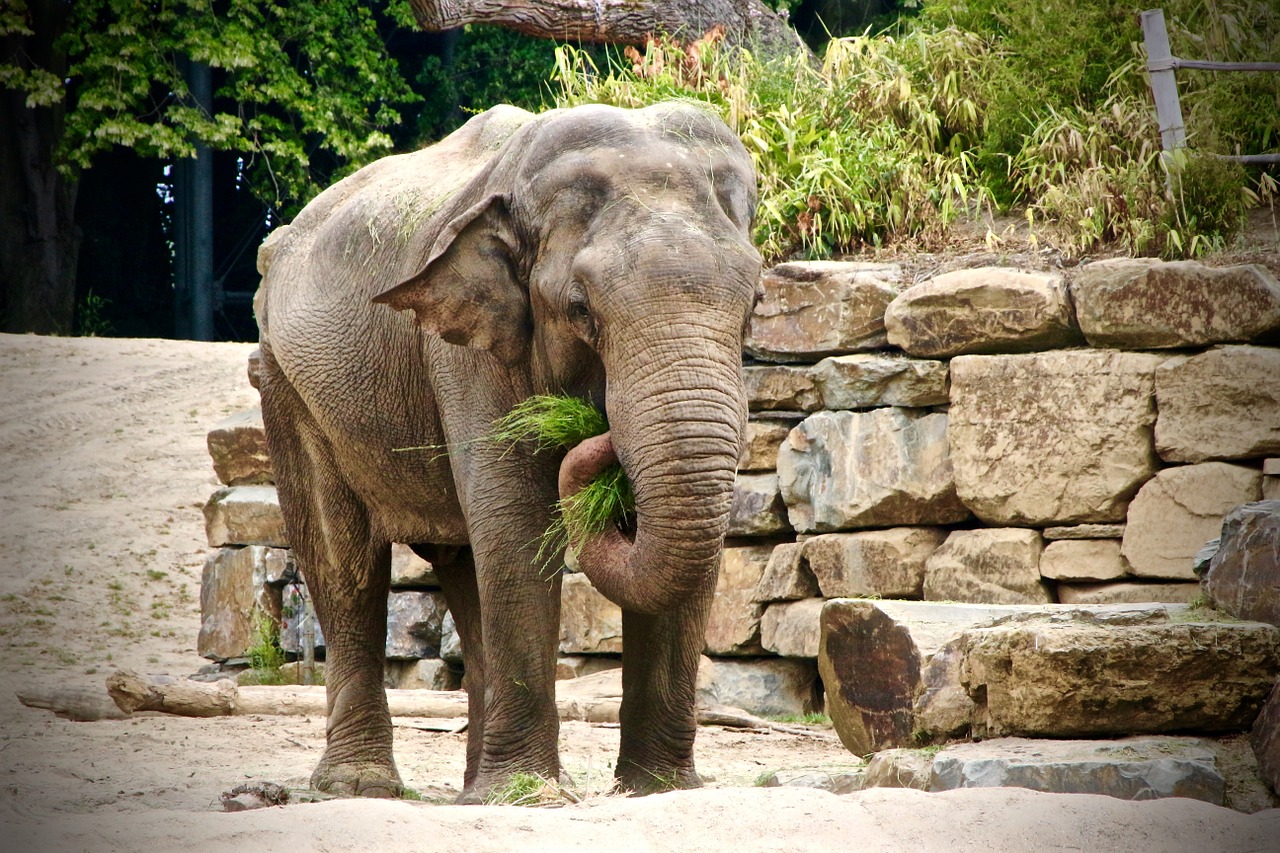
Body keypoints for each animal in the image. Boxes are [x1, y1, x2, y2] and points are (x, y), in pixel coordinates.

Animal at [254, 99, 762, 799]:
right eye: (581, 311)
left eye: (754, 306)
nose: (596, 429)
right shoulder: (465, 351)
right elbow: (516, 523)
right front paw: (533, 796)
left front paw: (660, 791)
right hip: (285, 384)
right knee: (343, 564)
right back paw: (362, 786)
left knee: (464, 567)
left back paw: (476, 789)